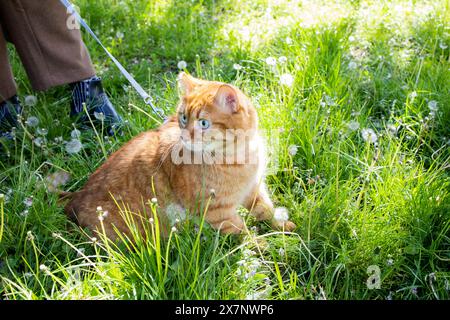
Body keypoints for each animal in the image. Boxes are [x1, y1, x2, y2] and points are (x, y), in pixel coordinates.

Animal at [63, 73, 296, 240]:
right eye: (183, 118)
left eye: (203, 123)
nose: (184, 136)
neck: (240, 155)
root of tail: (75, 197)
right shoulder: (217, 212)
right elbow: (243, 234)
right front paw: (263, 249)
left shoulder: (254, 190)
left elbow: (266, 210)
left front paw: (282, 226)